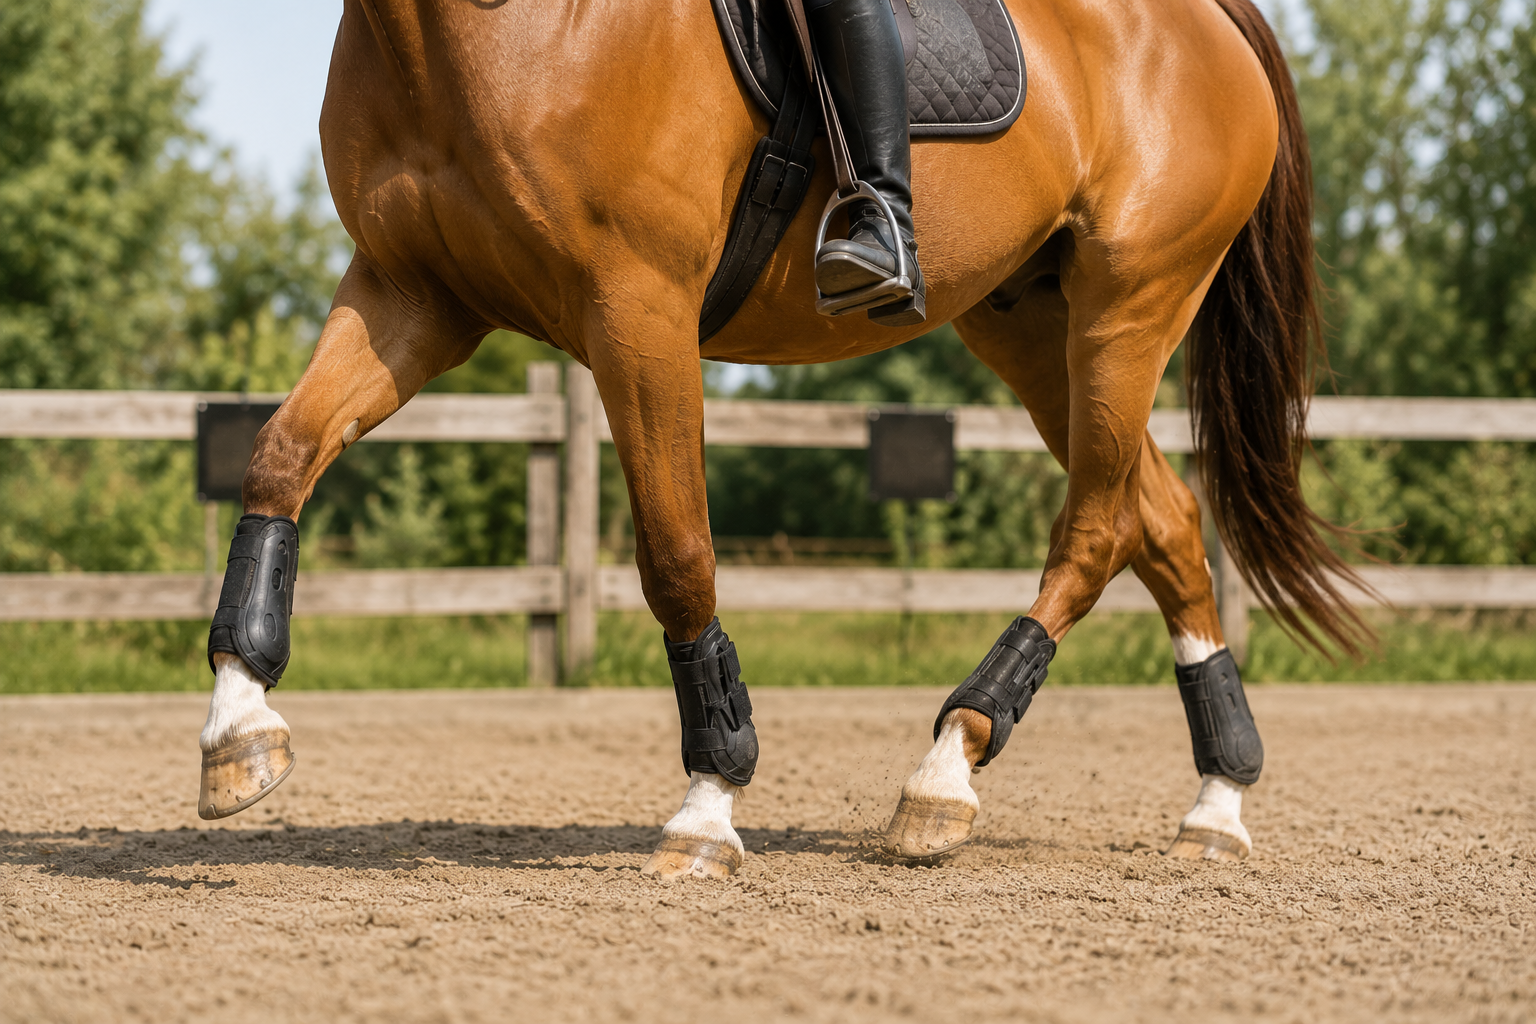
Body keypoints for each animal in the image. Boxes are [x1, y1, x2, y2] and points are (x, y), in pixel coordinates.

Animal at [194, 0, 1367, 877]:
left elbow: (676, 554)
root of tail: (1206, 17)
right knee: (1159, 519)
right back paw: (1215, 801)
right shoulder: (413, 294)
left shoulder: (638, 306)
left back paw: (949, 764)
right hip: (1033, 324)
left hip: (1131, 309)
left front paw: (709, 802)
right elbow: (281, 453)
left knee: (1096, 528)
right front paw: (238, 724)